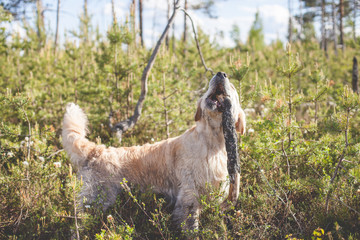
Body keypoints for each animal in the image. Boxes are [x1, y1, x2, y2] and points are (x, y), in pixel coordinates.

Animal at [63, 72, 246, 230]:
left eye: (233, 87)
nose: (221, 74)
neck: (211, 141)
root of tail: (96, 150)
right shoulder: (189, 195)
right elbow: (190, 225)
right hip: (96, 201)